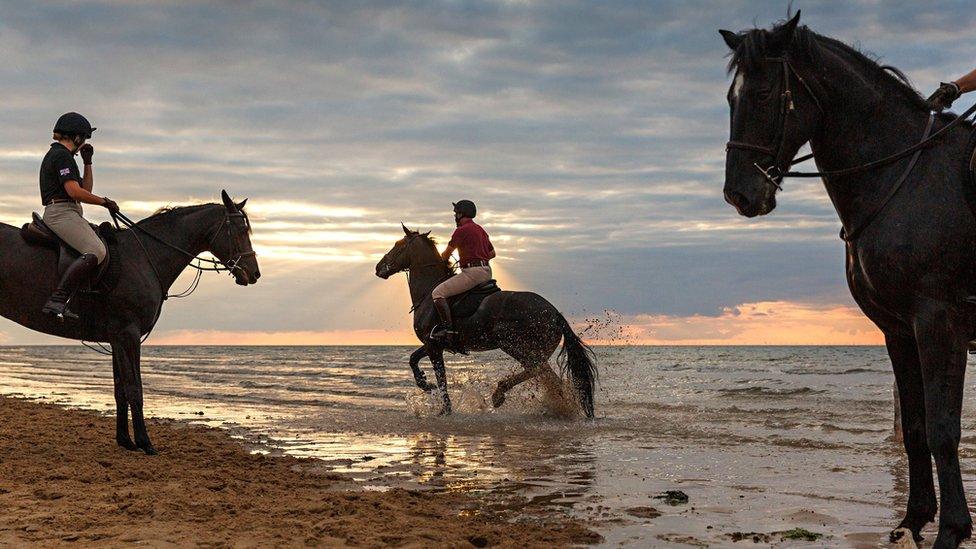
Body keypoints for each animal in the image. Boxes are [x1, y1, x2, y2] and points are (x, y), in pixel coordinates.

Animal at [0, 191, 260, 456]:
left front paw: (125, 440)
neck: (144, 256)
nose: (254, 273)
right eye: (240, 230)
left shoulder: (116, 338)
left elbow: (120, 390)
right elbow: (135, 389)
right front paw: (145, 442)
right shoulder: (129, 334)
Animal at [378, 225, 600, 418]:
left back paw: (500, 394)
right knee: (545, 375)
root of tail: (554, 313)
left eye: (398, 244)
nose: (379, 267)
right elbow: (413, 359)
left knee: (538, 370)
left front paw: (445, 408)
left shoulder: (433, 345)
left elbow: (441, 378)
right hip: (533, 350)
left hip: (514, 344)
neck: (427, 292)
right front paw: (425, 384)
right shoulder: (433, 343)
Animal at [716, 10, 976, 544]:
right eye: (732, 97)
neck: (902, 176)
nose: (739, 194)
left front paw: (952, 529)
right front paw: (914, 518)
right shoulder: (899, 329)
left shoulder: (938, 321)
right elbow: (916, 428)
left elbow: (943, 428)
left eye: (765, 94)